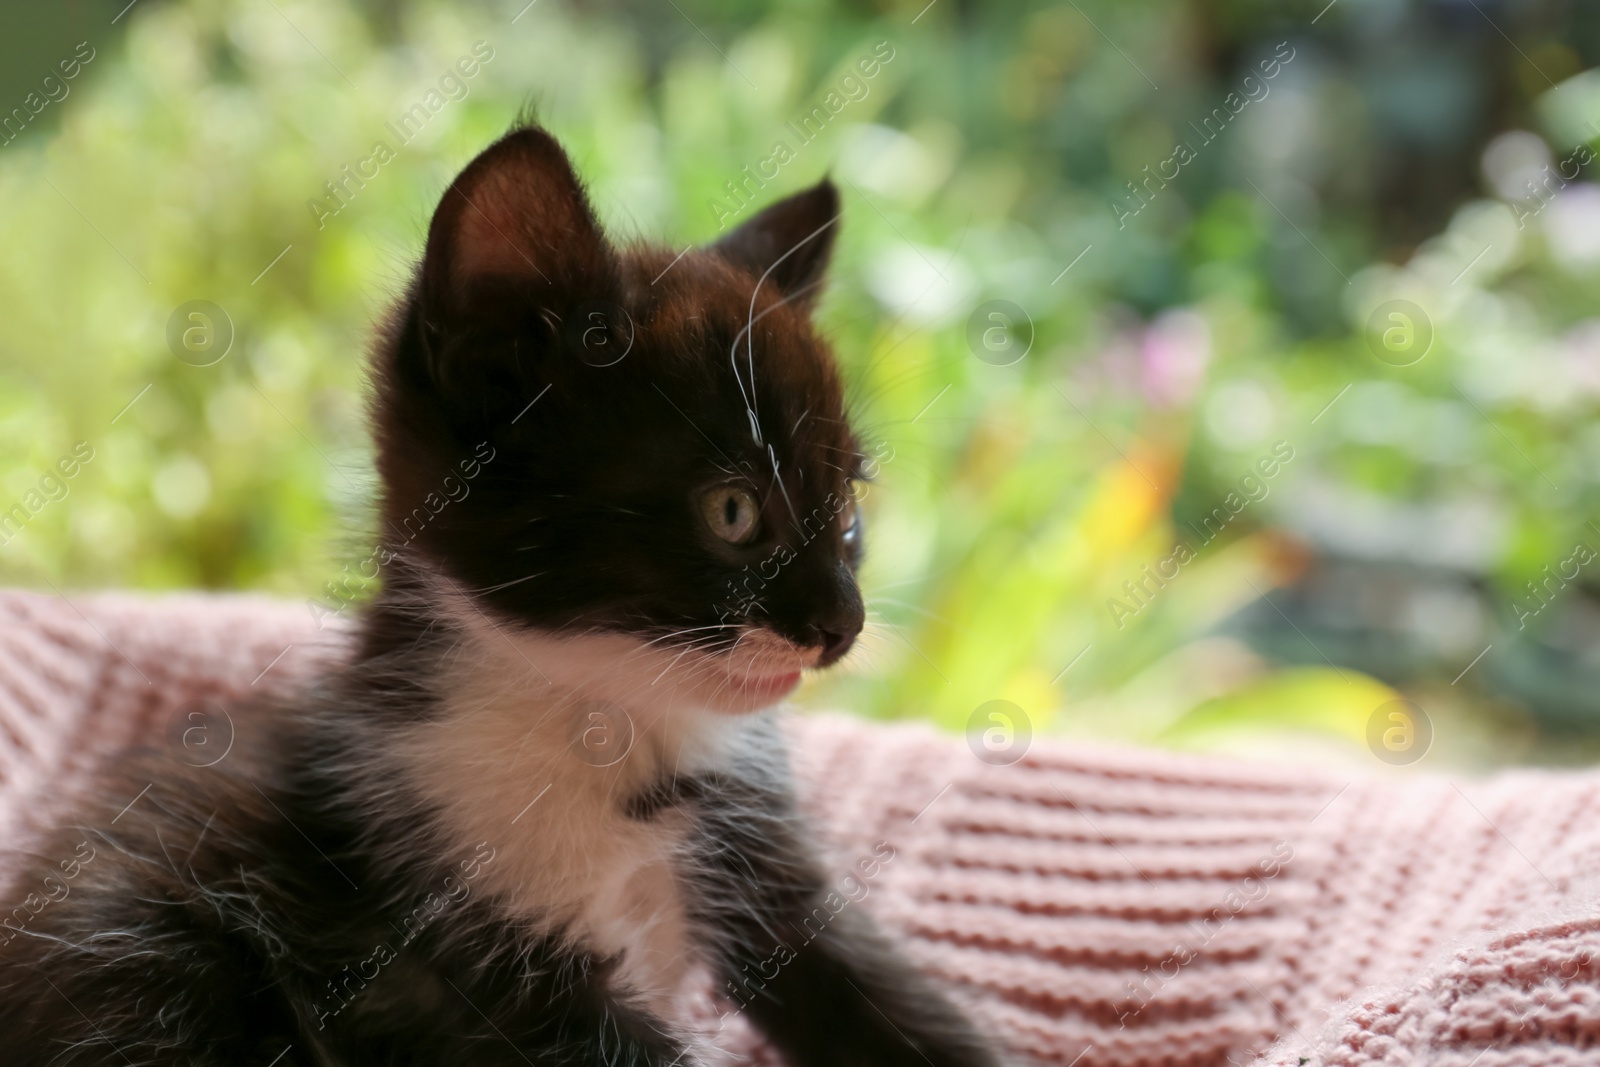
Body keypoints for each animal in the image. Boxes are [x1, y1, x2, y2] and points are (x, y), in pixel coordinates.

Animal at [0, 127, 998, 1067]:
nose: (843, 624)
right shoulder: (444, 933)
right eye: (734, 511)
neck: (609, 721)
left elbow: (878, 993)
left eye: (850, 516)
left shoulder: (761, 855)